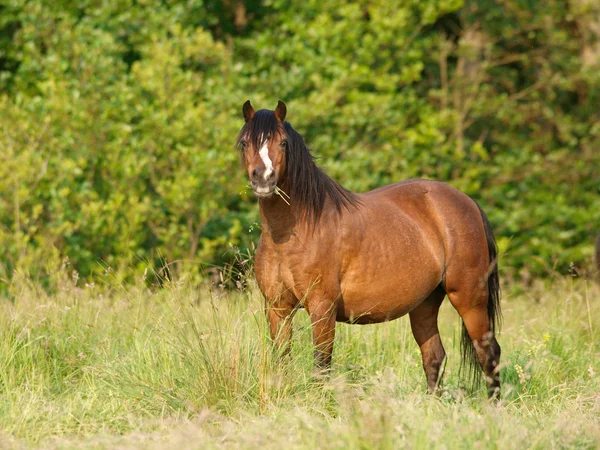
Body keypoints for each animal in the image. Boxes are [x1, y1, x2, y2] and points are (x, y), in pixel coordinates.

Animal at [237, 100, 500, 400]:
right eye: (245, 143)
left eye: (282, 143)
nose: (263, 179)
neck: (293, 233)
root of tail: (467, 203)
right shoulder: (277, 309)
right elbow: (282, 361)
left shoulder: (322, 309)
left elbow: (321, 367)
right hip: (425, 304)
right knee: (434, 356)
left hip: (469, 298)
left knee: (488, 353)